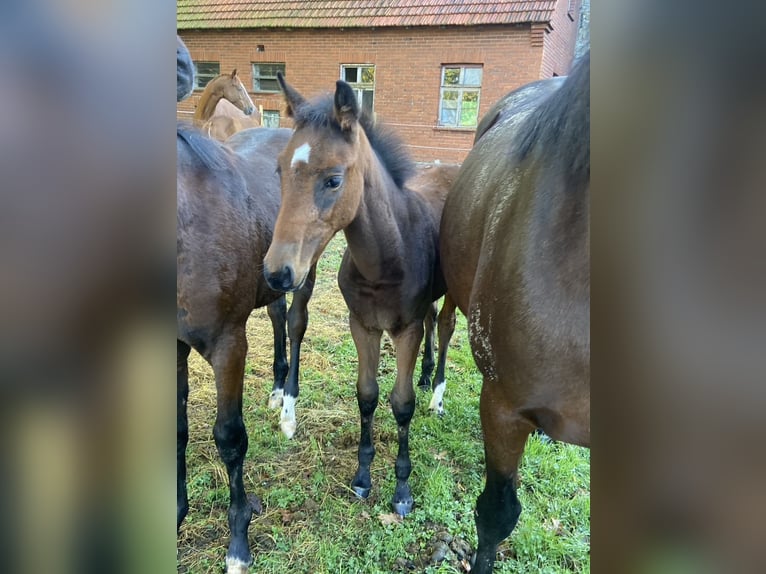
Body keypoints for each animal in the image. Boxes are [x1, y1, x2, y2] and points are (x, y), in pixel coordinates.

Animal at [177, 124, 316, 574]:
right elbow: (178, 431)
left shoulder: (228, 345)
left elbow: (230, 437)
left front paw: (238, 543)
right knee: (276, 313)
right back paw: (275, 390)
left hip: (303, 272)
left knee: (295, 324)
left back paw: (288, 408)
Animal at [262, 73, 457, 516]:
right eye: (279, 170)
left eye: (334, 179)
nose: (278, 273)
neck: (386, 259)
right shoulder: (362, 325)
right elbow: (366, 396)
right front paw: (363, 476)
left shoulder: (404, 330)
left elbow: (401, 402)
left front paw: (402, 489)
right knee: (434, 319)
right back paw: (426, 375)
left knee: (445, 325)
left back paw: (436, 393)